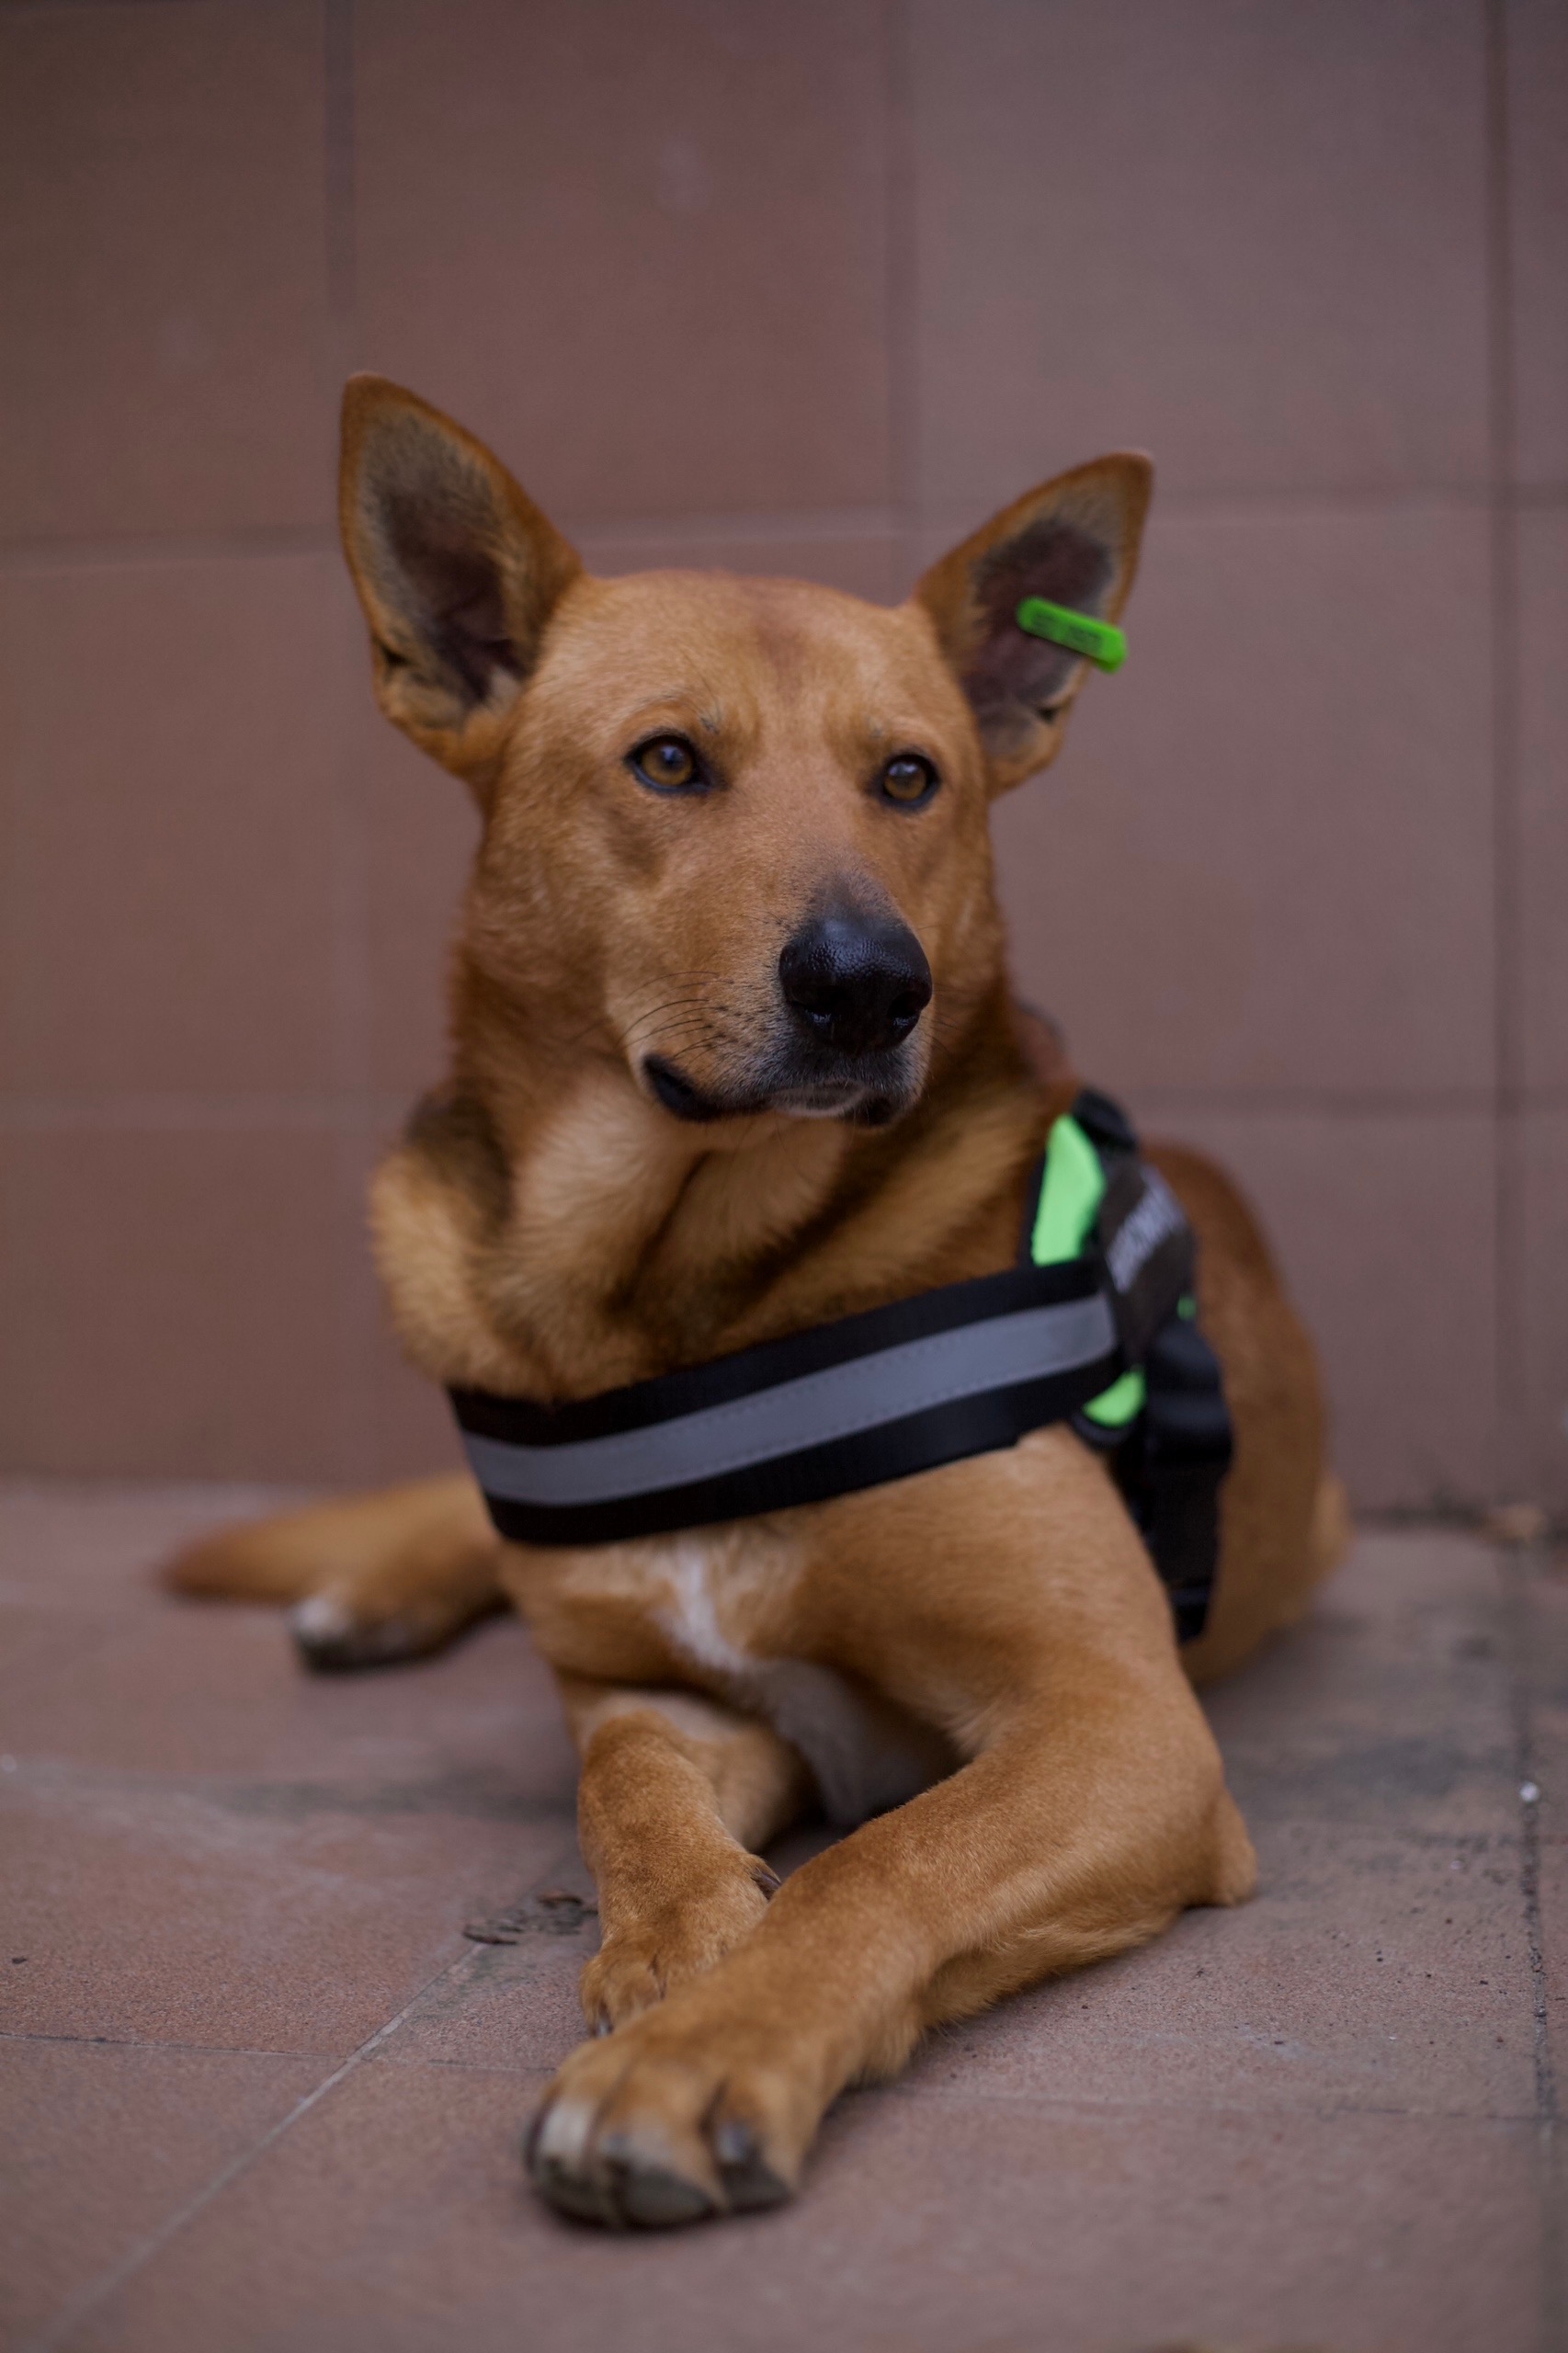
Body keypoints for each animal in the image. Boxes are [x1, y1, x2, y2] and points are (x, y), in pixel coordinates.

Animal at [169, 375, 1346, 2229]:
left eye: (909, 776)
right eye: (668, 760)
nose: (871, 988)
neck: (687, 1302)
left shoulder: (1118, 1718)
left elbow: (883, 1861)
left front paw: (702, 2048)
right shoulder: (653, 1693)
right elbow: (622, 1793)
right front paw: (682, 1939)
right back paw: (376, 1591)